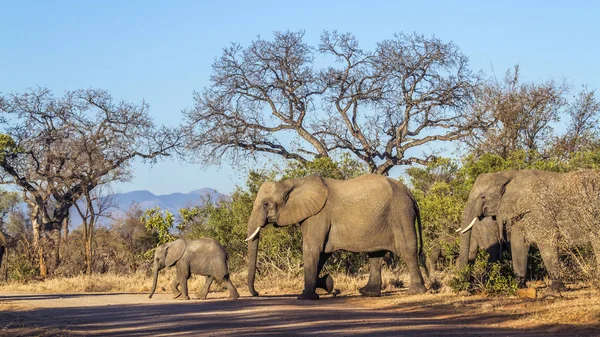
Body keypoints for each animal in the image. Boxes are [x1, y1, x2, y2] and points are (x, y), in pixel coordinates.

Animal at [244, 173, 426, 300]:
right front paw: (327, 284)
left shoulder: (318, 215)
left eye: (265, 204)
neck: (292, 183)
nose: (257, 293)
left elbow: (312, 250)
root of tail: (411, 195)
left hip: (400, 214)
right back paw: (367, 293)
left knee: (407, 250)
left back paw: (415, 291)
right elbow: (322, 254)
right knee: (376, 255)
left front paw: (305, 297)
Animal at [460, 169, 600, 290]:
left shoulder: (540, 209)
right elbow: (517, 243)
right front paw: (518, 287)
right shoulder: (519, 213)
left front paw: (556, 289)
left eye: (483, 197)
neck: (508, 175)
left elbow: (546, 241)